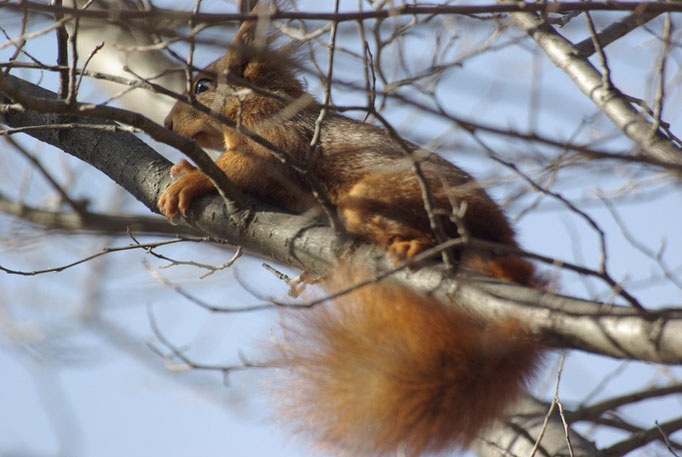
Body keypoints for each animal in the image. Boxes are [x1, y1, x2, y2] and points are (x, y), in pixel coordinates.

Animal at [158, 5, 544, 457]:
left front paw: (190, 179)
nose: (166, 123)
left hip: (378, 195)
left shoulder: (276, 142)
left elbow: (244, 168)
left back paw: (415, 245)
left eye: (201, 86)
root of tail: (504, 244)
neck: (259, 104)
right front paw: (184, 167)